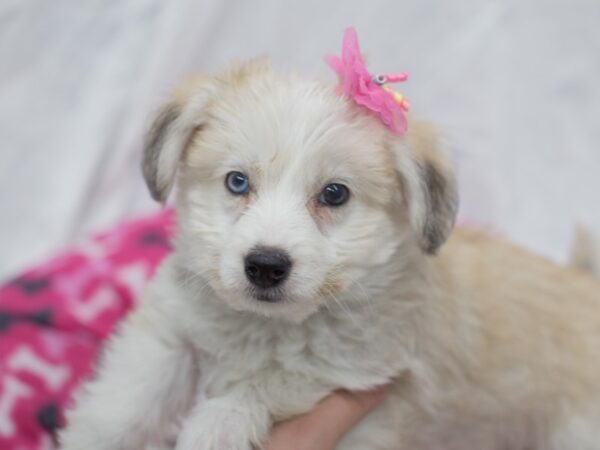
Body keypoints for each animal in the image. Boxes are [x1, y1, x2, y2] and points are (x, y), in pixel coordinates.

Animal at [58, 59, 600, 450]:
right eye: (237, 182)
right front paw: (90, 436)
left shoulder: (360, 373)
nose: (265, 266)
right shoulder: (172, 333)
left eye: (335, 194)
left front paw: (217, 425)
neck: (267, 327)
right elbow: (125, 400)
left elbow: (278, 380)